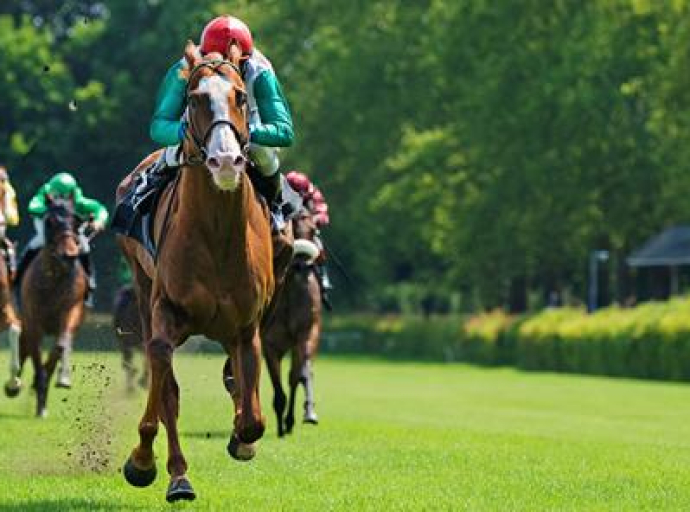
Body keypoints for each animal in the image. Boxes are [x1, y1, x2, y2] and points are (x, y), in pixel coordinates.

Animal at [6, 196, 87, 416]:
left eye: (77, 221)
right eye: (49, 222)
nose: (69, 255)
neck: (54, 278)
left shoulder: (70, 310)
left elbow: (59, 347)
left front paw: (47, 392)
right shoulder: (33, 320)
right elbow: (34, 351)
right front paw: (36, 390)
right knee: (25, 345)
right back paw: (14, 384)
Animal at [115, 43, 272, 500]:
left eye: (241, 96)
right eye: (194, 99)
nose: (225, 161)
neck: (216, 235)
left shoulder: (246, 326)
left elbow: (253, 418)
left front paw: (241, 439)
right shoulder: (166, 311)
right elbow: (165, 384)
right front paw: (155, 466)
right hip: (143, 290)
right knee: (162, 378)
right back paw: (161, 466)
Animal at [262, 210, 322, 438]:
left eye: (314, 230)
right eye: (293, 228)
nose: (303, 267)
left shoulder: (306, 333)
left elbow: (298, 375)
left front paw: (300, 417)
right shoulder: (270, 343)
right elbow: (277, 385)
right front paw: (280, 425)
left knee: (298, 374)